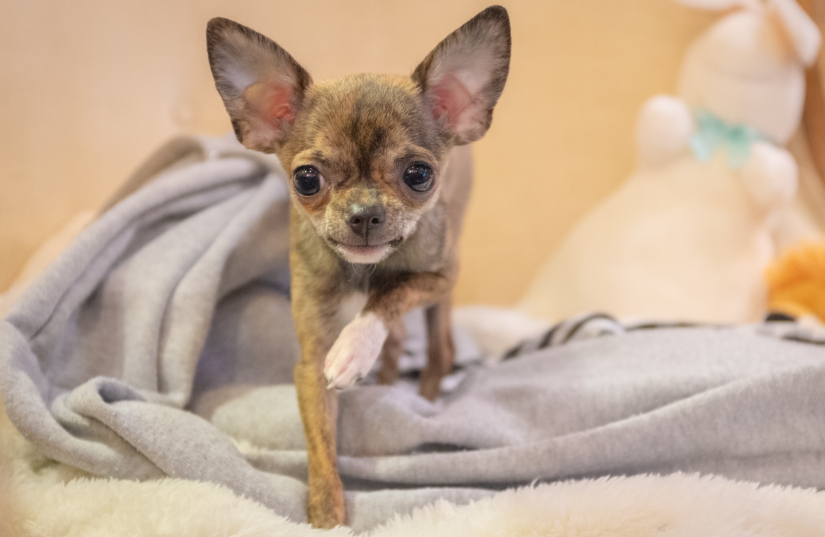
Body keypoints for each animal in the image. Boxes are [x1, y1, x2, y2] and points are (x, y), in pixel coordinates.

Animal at [206, 7, 508, 528]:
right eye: (307, 180)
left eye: (419, 175)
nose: (364, 213)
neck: (363, 272)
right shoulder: (310, 366)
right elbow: (320, 445)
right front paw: (327, 514)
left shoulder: (437, 277)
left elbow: (389, 295)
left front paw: (355, 347)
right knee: (403, 340)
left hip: (446, 286)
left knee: (439, 347)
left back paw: (424, 396)